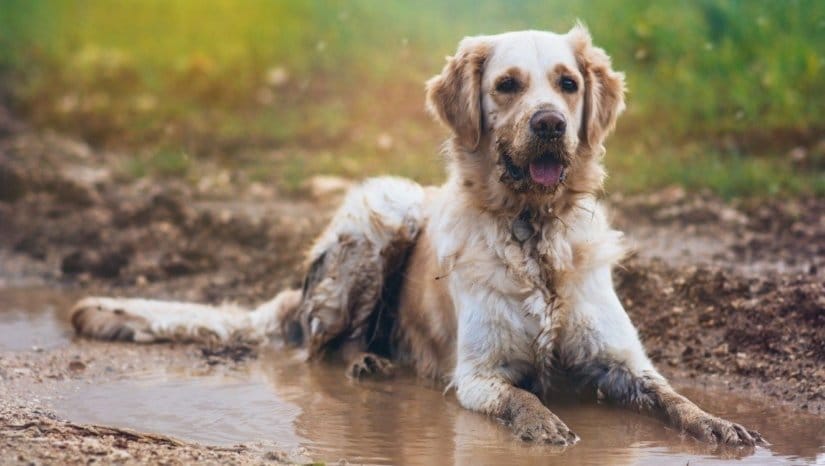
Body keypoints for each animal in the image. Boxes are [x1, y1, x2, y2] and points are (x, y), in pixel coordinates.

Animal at [72, 24, 768, 448]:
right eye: (507, 85)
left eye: (568, 84)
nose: (549, 124)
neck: (534, 231)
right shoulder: (479, 374)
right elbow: (522, 399)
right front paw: (545, 425)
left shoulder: (623, 363)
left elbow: (673, 396)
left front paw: (719, 424)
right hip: (384, 215)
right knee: (320, 350)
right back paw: (368, 361)